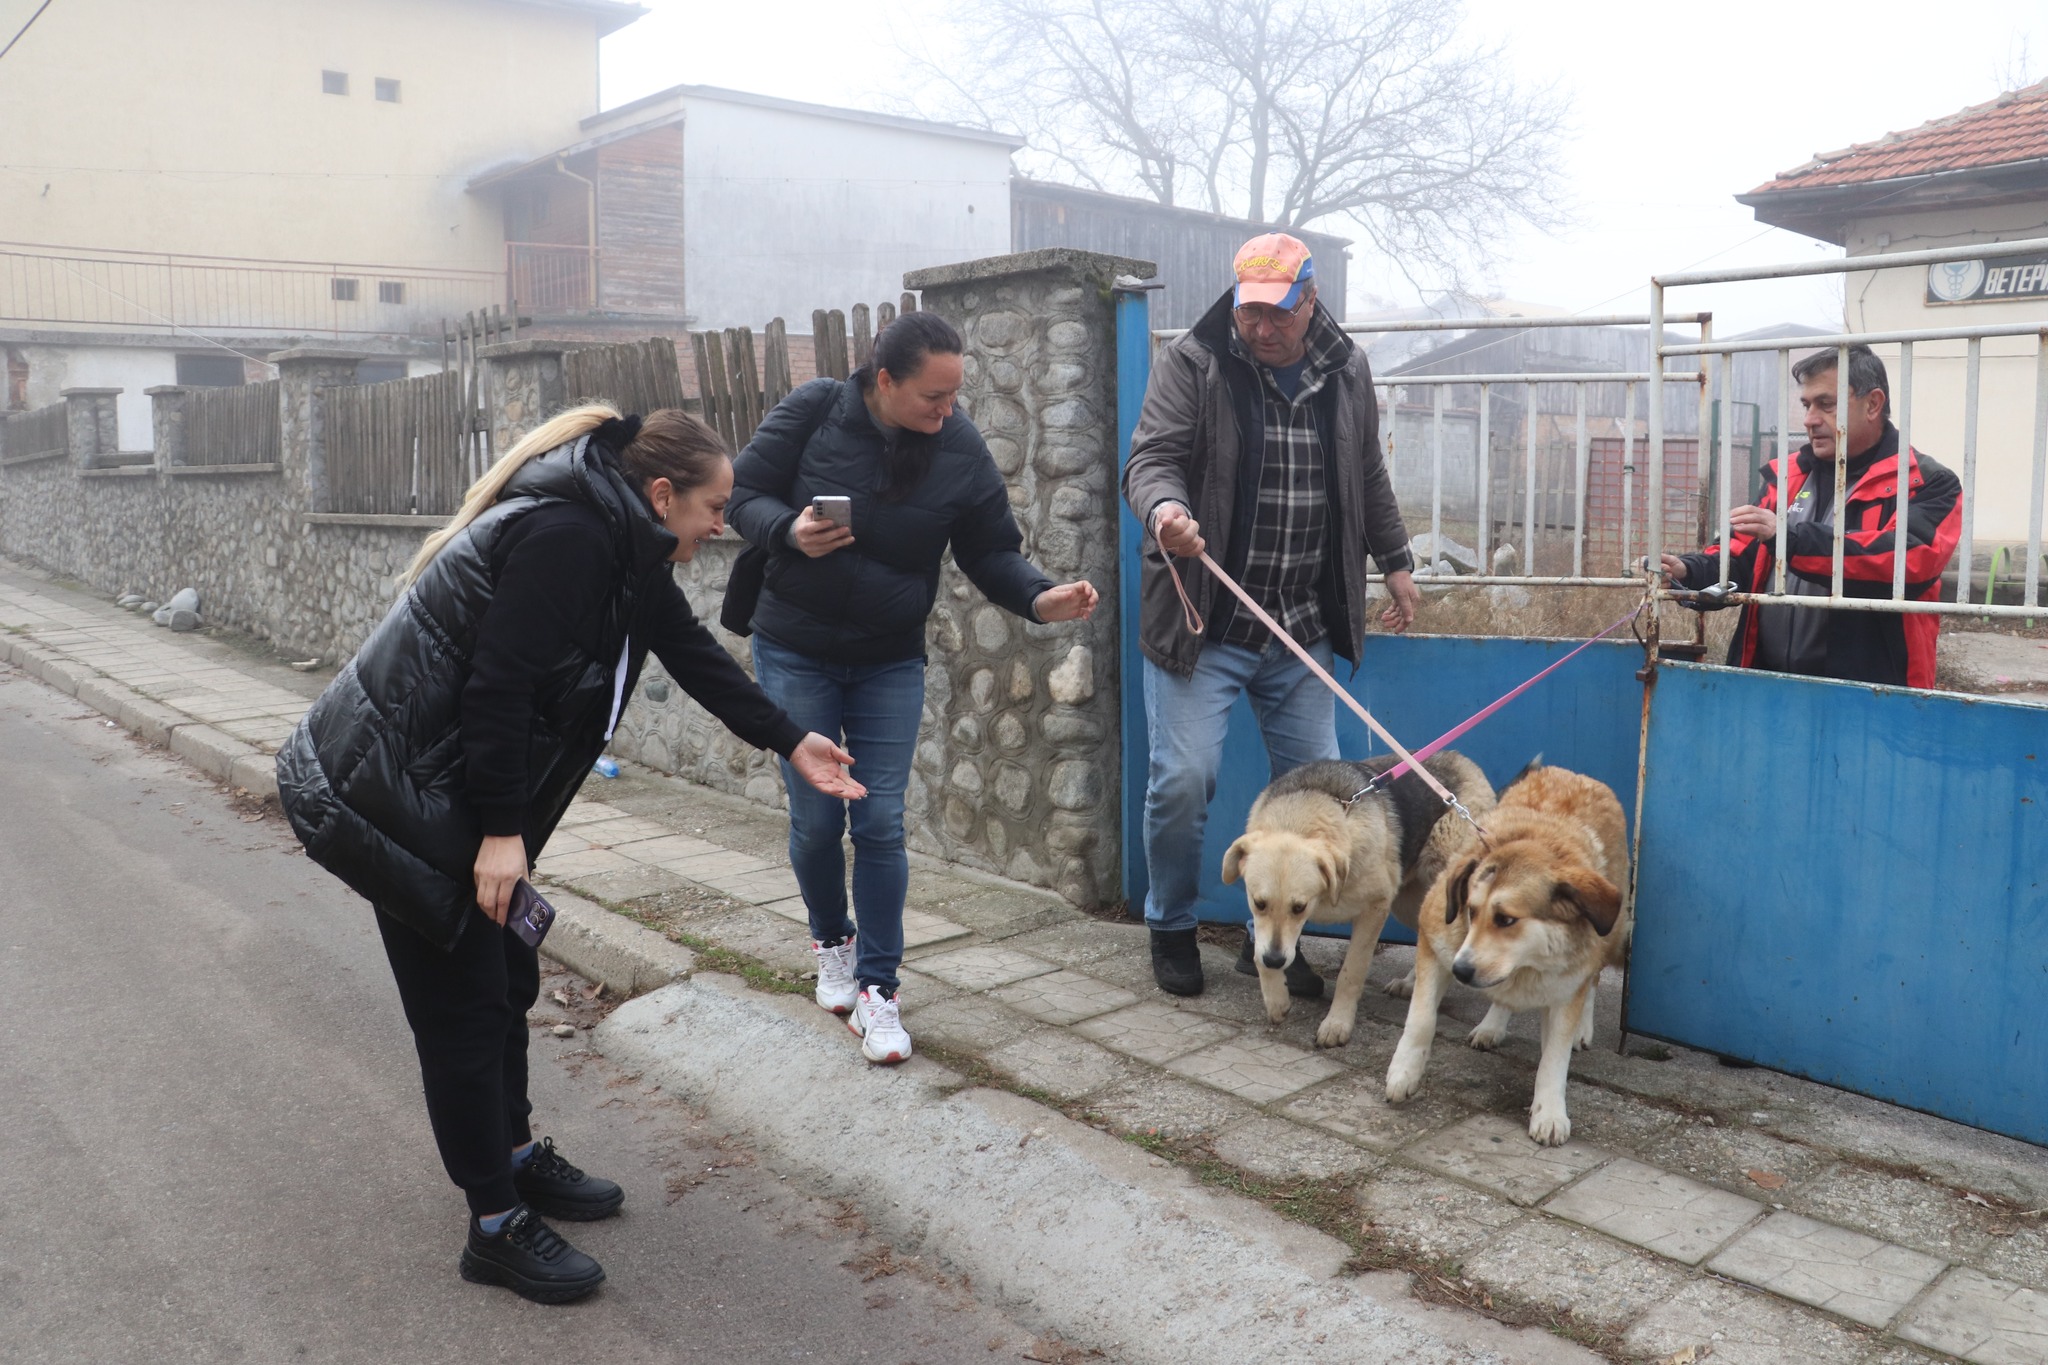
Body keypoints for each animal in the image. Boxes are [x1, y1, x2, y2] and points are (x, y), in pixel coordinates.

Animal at [1220, 757, 1499, 1047]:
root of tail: (1465, 761)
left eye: (1299, 908)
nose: (1275, 961)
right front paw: (1276, 998)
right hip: (1413, 906)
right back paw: (1413, 984)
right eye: (1259, 903)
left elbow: (1350, 973)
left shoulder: (1375, 909)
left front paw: (1337, 1023)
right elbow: (1259, 953)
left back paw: (1490, 1028)